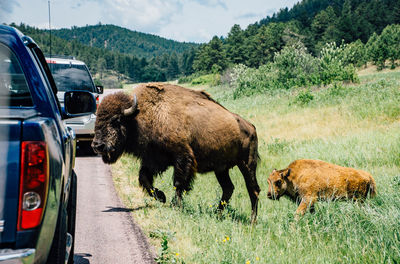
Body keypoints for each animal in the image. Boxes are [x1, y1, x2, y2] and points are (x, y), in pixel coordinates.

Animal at [91, 82, 260, 223]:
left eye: (116, 120)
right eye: (98, 118)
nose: (97, 145)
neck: (142, 116)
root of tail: (250, 126)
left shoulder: (182, 158)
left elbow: (178, 183)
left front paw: (175, 205)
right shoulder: (153, 159)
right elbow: (144, 178)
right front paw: (162, 197)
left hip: (247, 164)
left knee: (253, 189)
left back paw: (252, 221)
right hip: (221, 169)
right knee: (228, 188)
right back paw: (218, 214)